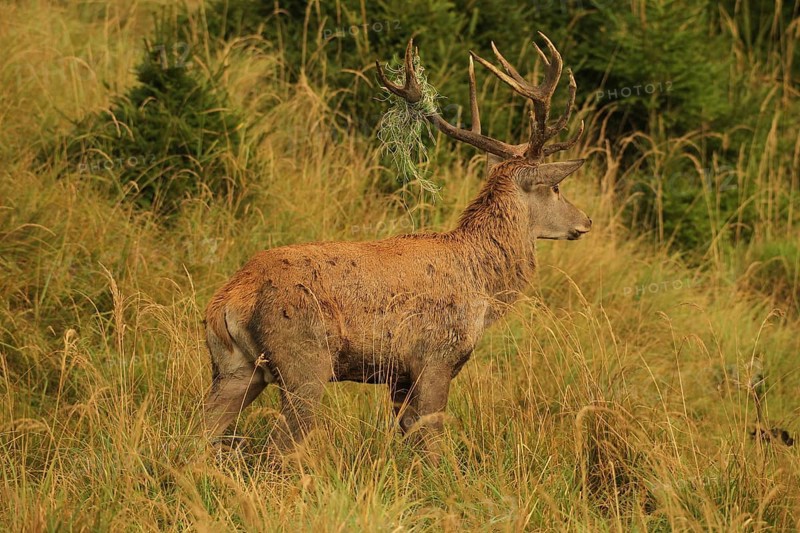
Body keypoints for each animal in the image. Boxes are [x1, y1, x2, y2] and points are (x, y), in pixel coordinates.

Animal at [202, 34, 592, 457]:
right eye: (556, 188)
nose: (585, 221)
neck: (481, 283)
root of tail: (231, 298)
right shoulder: (436, 357)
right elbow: (433, 443)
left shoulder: (399, 377)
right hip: (304, 364)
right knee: (275, 448)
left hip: (234, 369)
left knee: (196, 436)